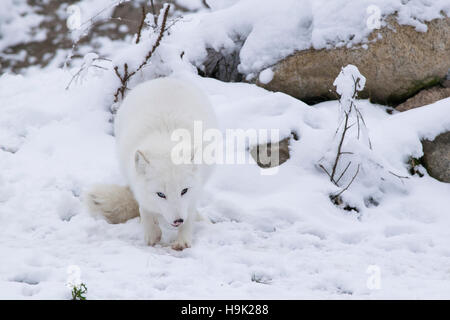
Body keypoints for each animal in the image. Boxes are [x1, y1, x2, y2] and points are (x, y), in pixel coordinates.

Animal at [86, 77, 218, 250]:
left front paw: (183, 238)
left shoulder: (195, 188)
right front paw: (151, 232)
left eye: (184, 191)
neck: (165, 140)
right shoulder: (136, 182)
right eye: (161, 194)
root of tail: (164, 79)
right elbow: (144, 207)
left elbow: (190, 211)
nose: (178, 221)